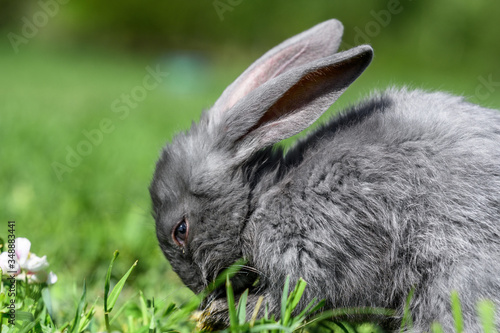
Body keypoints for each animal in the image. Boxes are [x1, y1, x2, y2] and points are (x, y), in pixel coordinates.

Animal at [151, 19, 500, 330]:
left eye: (180, 230)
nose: (203, 293)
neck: (261, 200)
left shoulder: (318, 251)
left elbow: (293, 298)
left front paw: (223, 312)